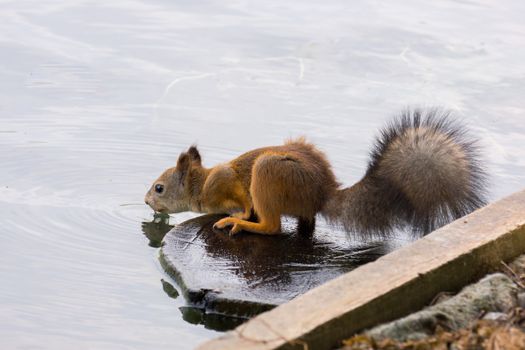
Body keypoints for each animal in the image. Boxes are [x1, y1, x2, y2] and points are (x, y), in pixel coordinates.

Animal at [144, 108, 488, 237]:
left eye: (159, 188)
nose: (147, 202)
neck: (200, 185)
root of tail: (323, 193)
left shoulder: (225, 182)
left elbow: (241, 201)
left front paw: (237, 214)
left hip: (269, 174)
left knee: (271, 226)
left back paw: (241, 224)